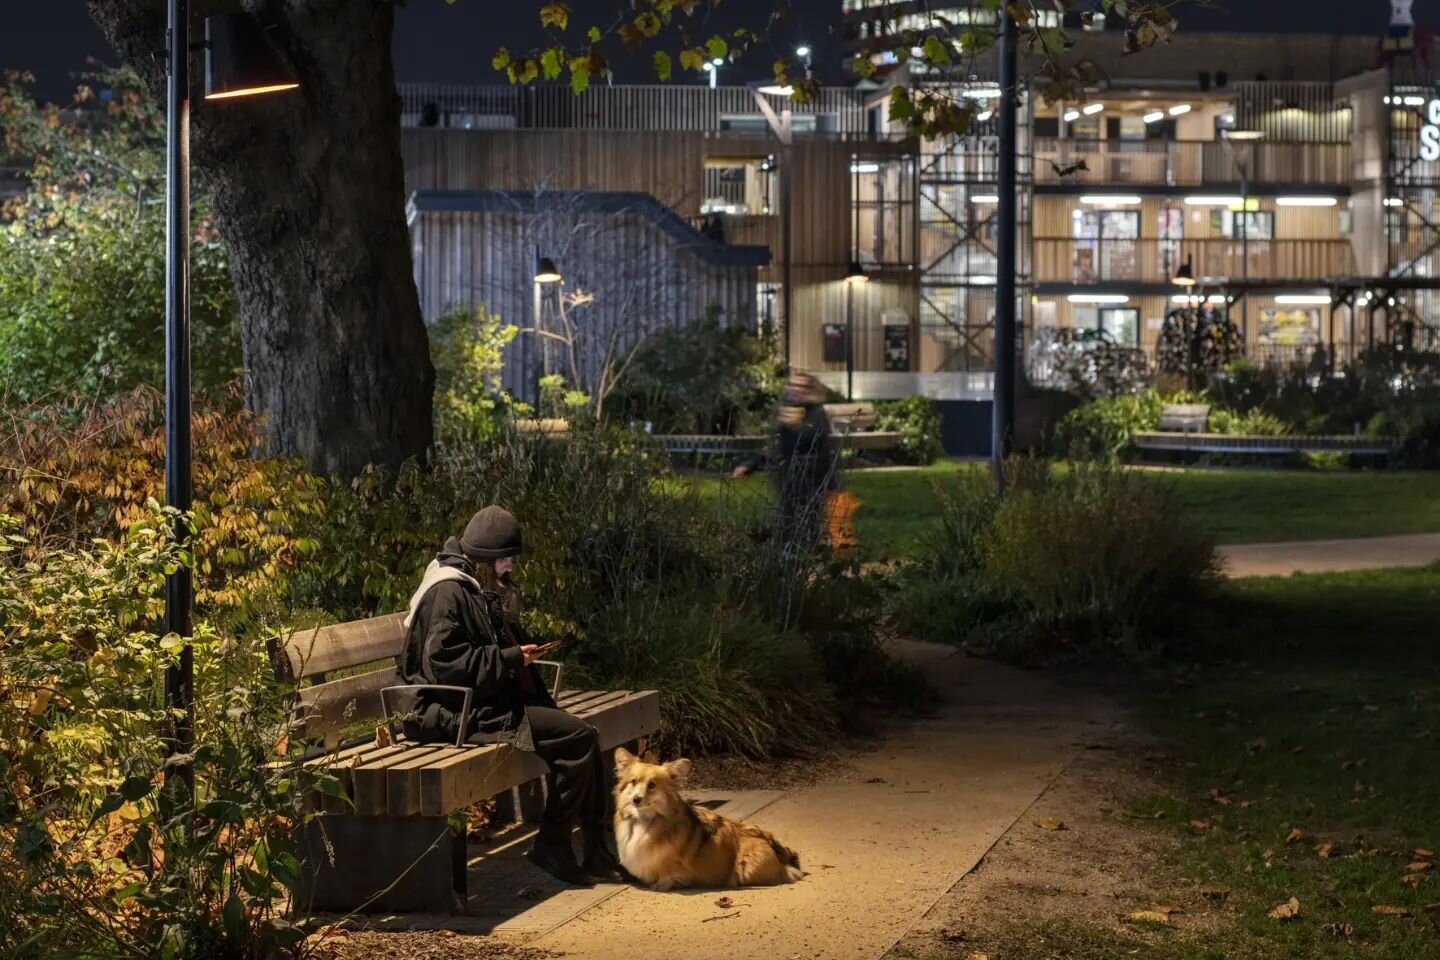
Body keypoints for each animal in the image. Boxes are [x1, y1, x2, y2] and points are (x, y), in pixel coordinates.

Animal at [613, 748, 806, 892]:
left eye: (652, 785)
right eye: (633, 782)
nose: (636, 799)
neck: (644, 820)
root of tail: (770, 840)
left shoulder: (670, 863)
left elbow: (667, 874)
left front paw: (660, 885)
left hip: (747, 868)